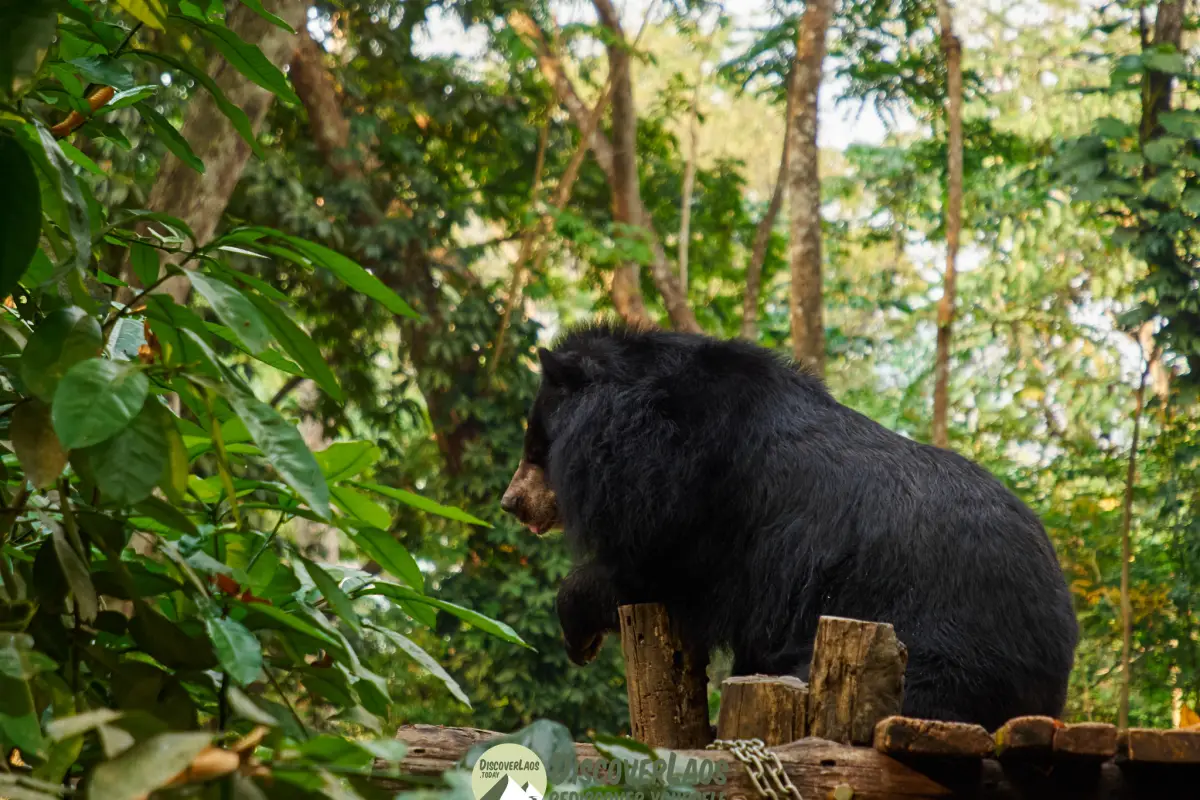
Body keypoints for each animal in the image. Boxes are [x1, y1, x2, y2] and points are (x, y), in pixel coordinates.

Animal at [500, 320, 1079, 731]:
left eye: (537, 448)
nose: (512, 503)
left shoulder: (699, 498)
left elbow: (653, 573)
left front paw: (578, 634)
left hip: (939, 644)